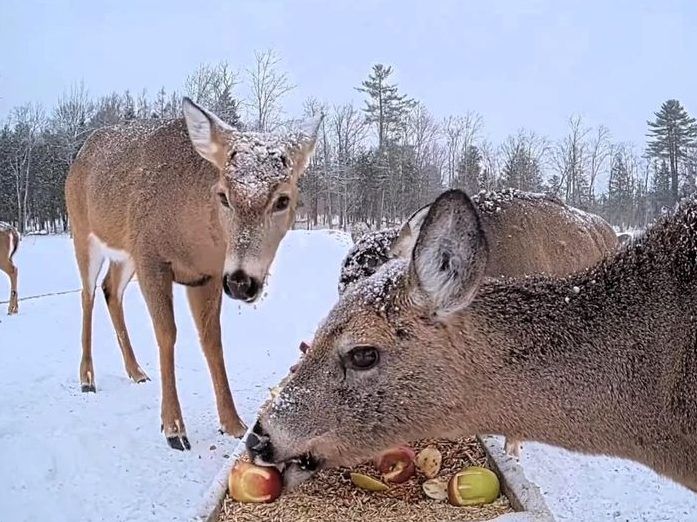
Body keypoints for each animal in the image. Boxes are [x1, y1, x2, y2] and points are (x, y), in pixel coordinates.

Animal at [65, 98, 320, 450]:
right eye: (223, 195)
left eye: (283, 199)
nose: (241, 282)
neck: (192, 236)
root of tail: (80, 155)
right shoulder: (151, 257)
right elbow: (167, 334)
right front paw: (174, 429)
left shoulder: (206, 276)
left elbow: (212, 339)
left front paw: (233, 423)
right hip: (82, 231)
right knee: (87, 293)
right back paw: (87, 378)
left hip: (124, 253)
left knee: (109, 289)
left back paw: (136, 371)